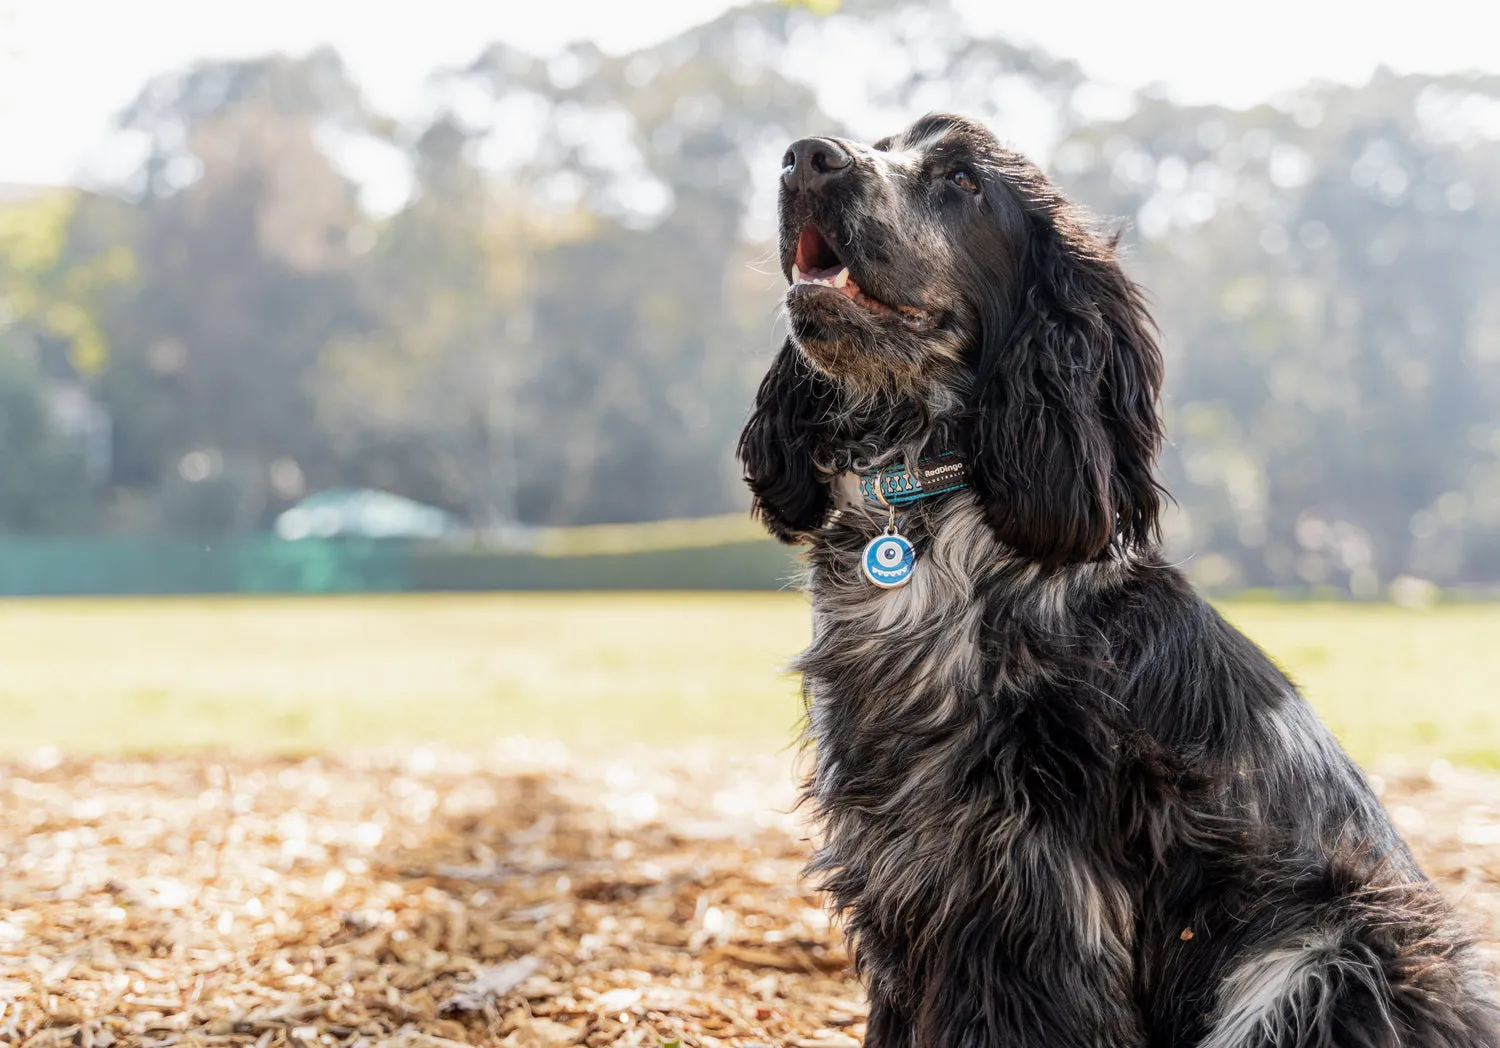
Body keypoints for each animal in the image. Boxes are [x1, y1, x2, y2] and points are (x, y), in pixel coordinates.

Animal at [738, 114, 1500, 1048]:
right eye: (880, 145)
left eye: (962, 180)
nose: (807, 156)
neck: (926, 504)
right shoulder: (898, 862)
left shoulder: (1031, 882)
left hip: (1328, 957)